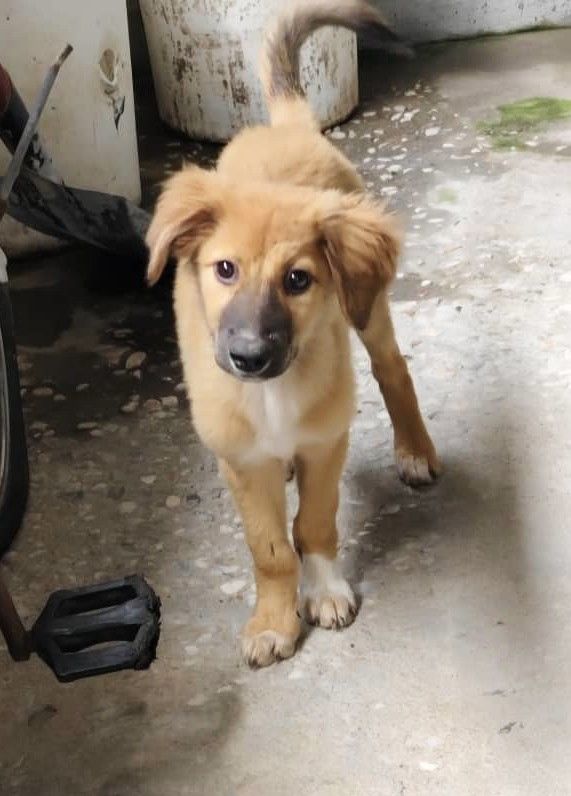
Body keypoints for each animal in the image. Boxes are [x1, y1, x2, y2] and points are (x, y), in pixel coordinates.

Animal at [145, 1, 440, 664]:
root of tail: (287, 124)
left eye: (298, 279)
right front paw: (274, 620)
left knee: (393, 369)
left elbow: (315, 524)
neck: (271, 394)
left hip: (367, 309)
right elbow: (272, 548)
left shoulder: (326, 441)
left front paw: (325, 591)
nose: (248, 356)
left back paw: (415, 450)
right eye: (224, 269)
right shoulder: (238, 459)